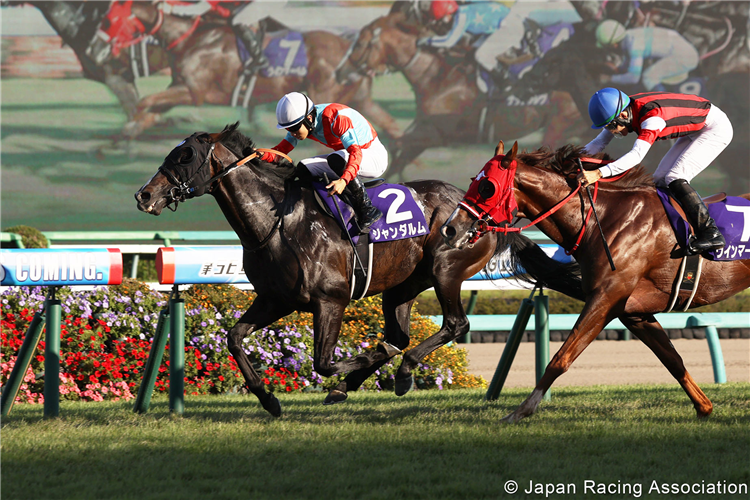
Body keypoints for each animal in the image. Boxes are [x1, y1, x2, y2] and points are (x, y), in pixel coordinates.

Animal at [85, 0, 402, 142]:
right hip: (358, 99)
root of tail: (353, 53)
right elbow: (149, 109)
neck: (191, 39)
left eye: (110, 21)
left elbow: (144, 103)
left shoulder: (193, 91)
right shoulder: (179, 87)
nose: (92, 51)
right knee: (391, 127)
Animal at [134, 124, 580, 418]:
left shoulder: (329, 301)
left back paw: (401, 373)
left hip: (446, 269)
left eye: (184, 157)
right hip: (401, 285)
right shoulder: (276, 299)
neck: (277, 222)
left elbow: (324, 362)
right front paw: (269, 399)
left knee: (453, 325)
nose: (144, 195)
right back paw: (363, 381)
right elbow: (234, 337)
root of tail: (486, 213)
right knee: (399, 335)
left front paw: (357, 364)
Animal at [336, 11, 592, 182]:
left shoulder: (436, 134)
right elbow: (398, 155)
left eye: (360, 43)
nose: (340, 72)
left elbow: (397, 148)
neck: (435, 76)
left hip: (558, 122)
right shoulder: (424, 129)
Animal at [440, 140, 750, 422]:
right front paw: (704, 407)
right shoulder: (633, 311)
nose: (449, 229)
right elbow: (673, 360)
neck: (601, 219)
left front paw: (521, 411)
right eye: (474, 181)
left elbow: (560, 358)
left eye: (487, 187)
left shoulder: (606, 298)